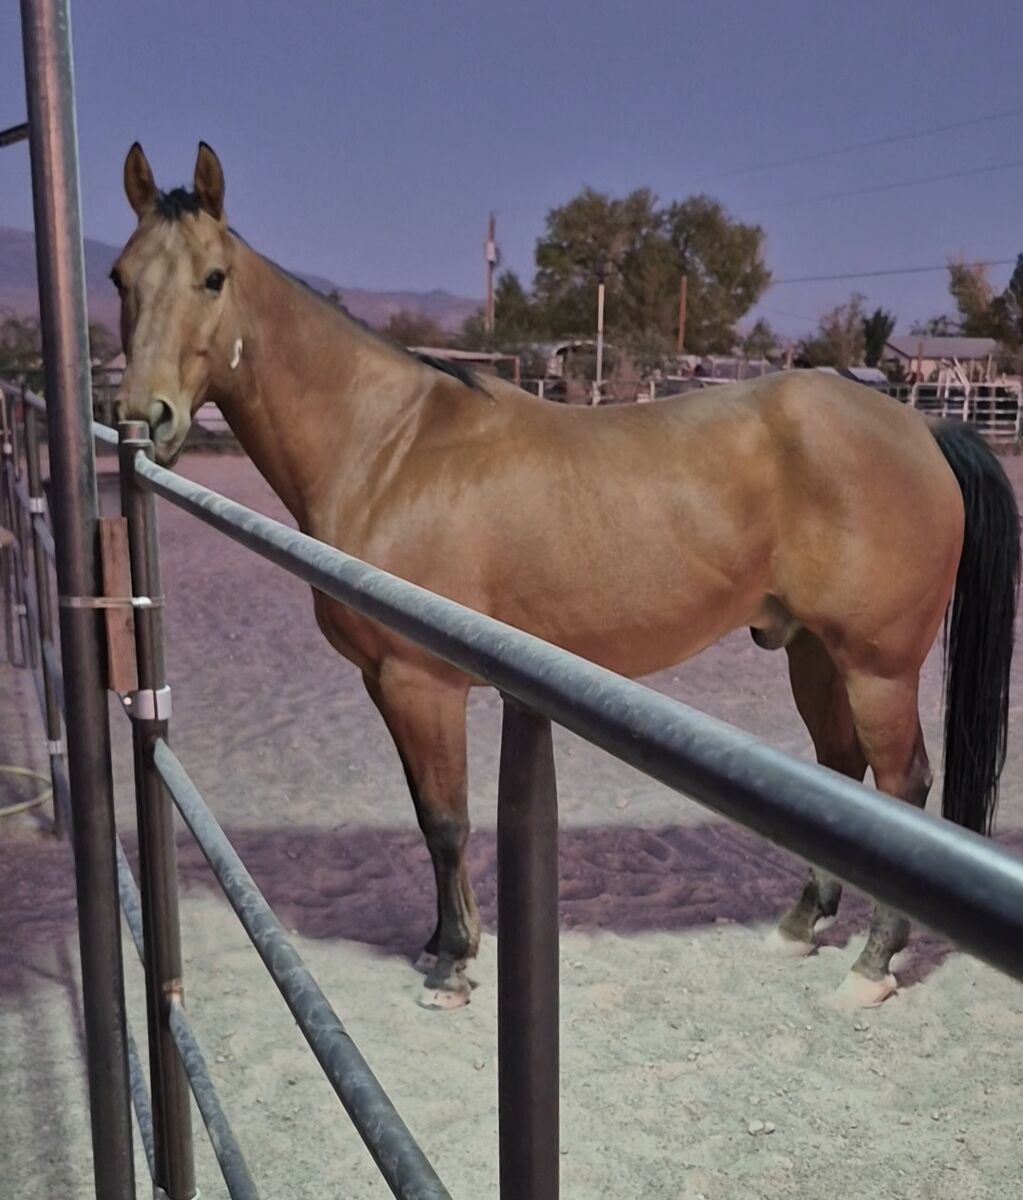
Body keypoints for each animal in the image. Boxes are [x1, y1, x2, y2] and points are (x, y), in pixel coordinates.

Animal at [112, 142, 1020, 1009]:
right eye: (122, 278)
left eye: (213, 278)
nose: (144, 415)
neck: (388, 447)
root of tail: (919, 427)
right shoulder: (384, 682)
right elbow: (424, 814)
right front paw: (439, 944)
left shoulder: (419, 682)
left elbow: (445, 820)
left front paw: (454, 966)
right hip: (812, 653)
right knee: (840, 773)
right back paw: (800, 925)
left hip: (875, 666)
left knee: (902, 785)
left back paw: (871, 966)